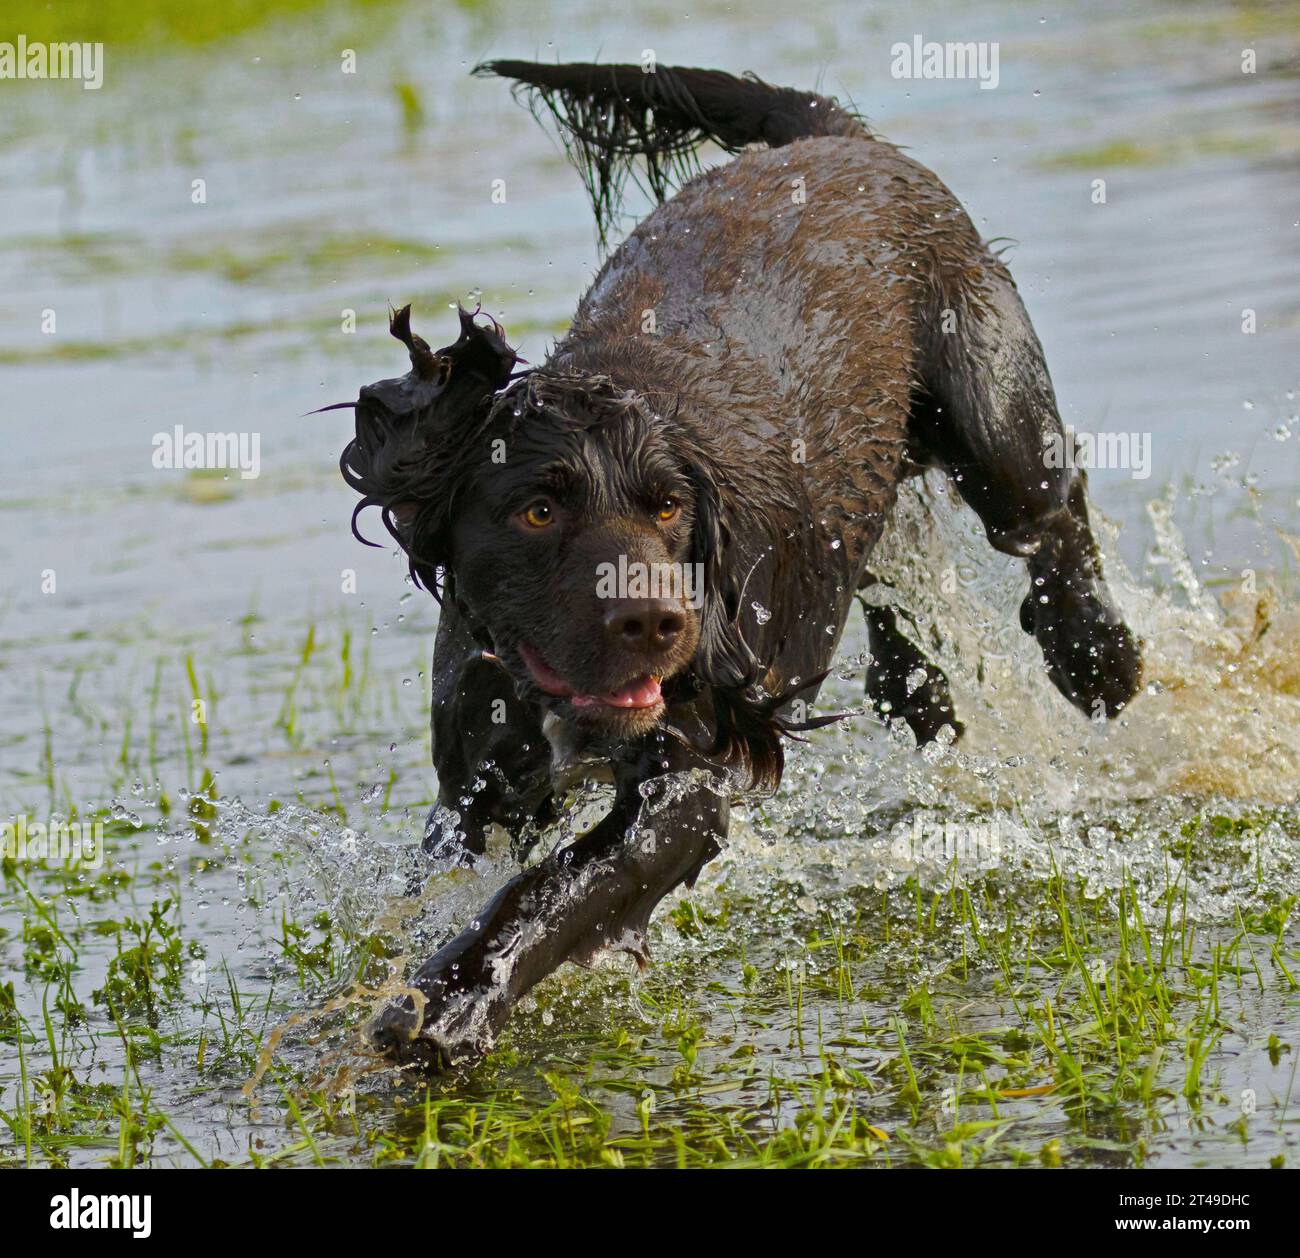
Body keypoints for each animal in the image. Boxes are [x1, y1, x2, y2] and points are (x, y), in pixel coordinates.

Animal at [340, 59, 1144, 1060]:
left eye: (668, 507)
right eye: (537, 510)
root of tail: (839, 139)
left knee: (1052, 511)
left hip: (993, 413)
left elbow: (562, 889)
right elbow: (464, 859)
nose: (655, 622)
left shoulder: (688, 775)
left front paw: (450, 1004)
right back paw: (915, 687)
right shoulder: (479, 780)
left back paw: (1097, 655)